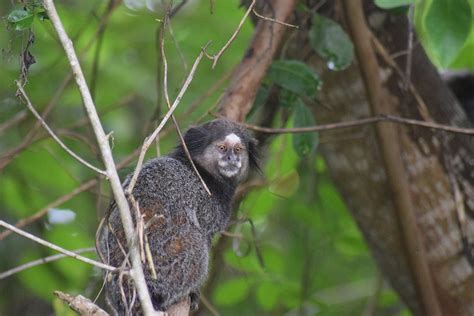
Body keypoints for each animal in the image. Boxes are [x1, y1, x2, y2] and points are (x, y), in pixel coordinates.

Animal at [96, 118, 260, 314]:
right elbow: (203, 233)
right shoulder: (206, 205)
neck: (201, 171)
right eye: (222, 148)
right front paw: (194, 291)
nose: (232, 159)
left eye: (238, 149)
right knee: (196, 243)